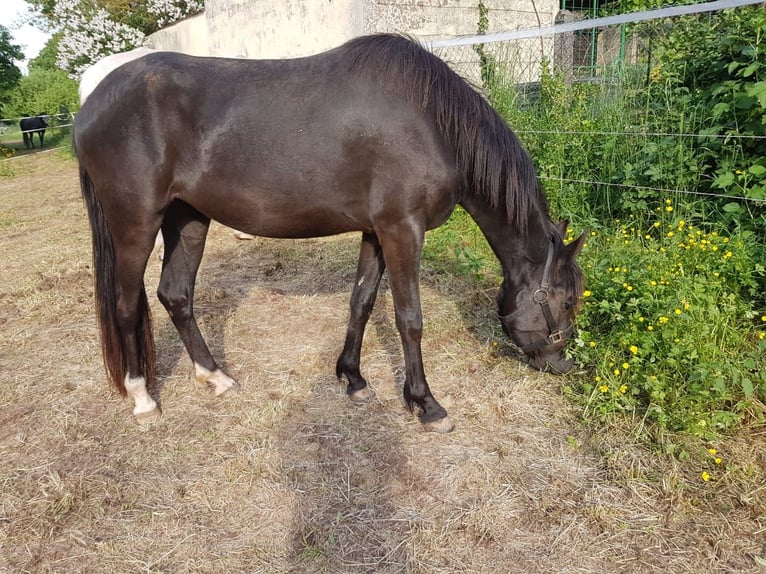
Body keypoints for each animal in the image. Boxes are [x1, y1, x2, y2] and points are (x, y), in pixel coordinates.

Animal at [73, 35, 588, 432]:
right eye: (565, 301)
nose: (562, 363)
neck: (432, 125)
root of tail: (92, 101)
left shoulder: (376, 232)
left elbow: (361, 302)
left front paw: (353, 378)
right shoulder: (403, 230)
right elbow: (409, 319)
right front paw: (425, 403)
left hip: (188, 220)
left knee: (176, 295)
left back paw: (214, 376)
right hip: (136, 225)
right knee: (126, 305)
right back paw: (143, 398)